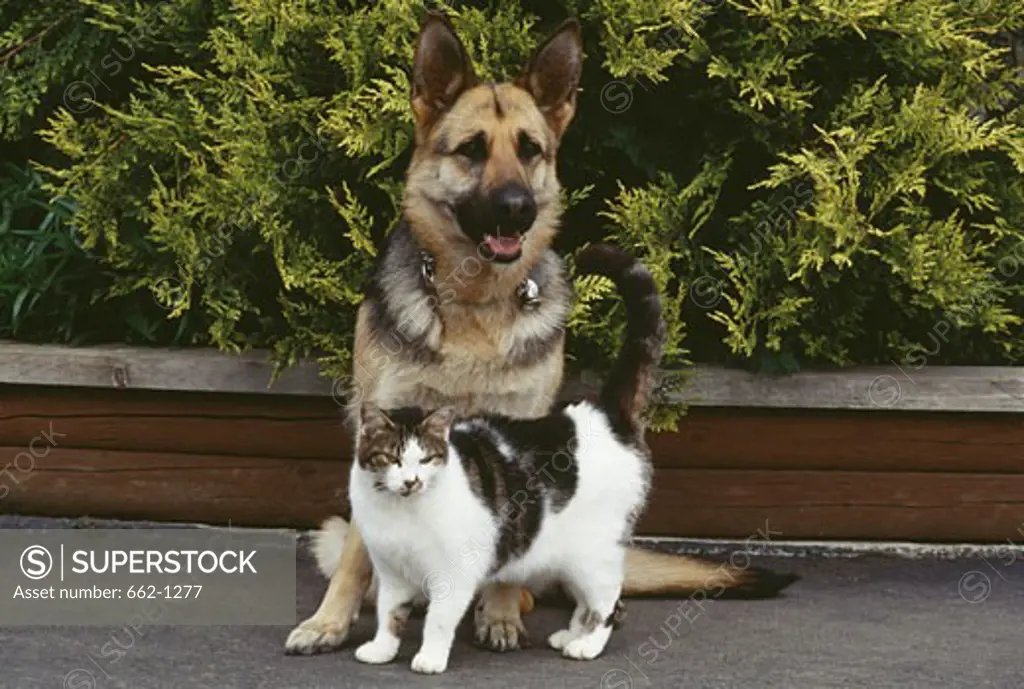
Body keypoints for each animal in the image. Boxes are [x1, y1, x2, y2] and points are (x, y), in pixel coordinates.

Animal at [344, 241, 663, 671]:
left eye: (425, 459)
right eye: (391, 458)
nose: (411, 481)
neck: (402, 512)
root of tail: (606, 413)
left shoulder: (454, 575)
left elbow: (437, 621)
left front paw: (429, 659)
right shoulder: (393, 575)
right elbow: (388, 614)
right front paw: (381, 650)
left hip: (592, 552)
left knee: (606, 598)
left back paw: (587, 646)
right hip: (569, 556)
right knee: (584, 600)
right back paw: (570, 636)